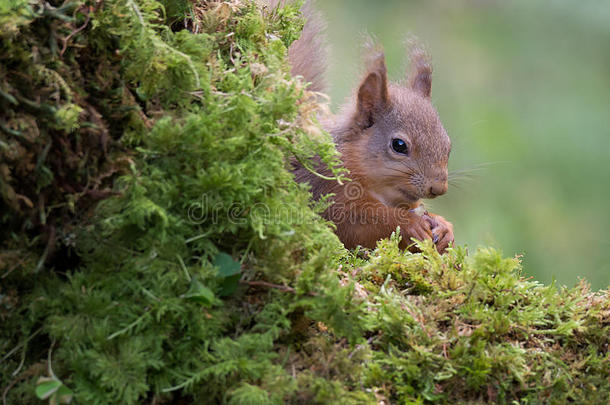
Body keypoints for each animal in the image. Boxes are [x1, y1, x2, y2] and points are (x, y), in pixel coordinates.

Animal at [270, 0, 452, 252]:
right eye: (399, 145)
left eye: (448, 146)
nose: (439, 188)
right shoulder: (327, 188)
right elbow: (353, 224)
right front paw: (408, 223)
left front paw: (444, 227)